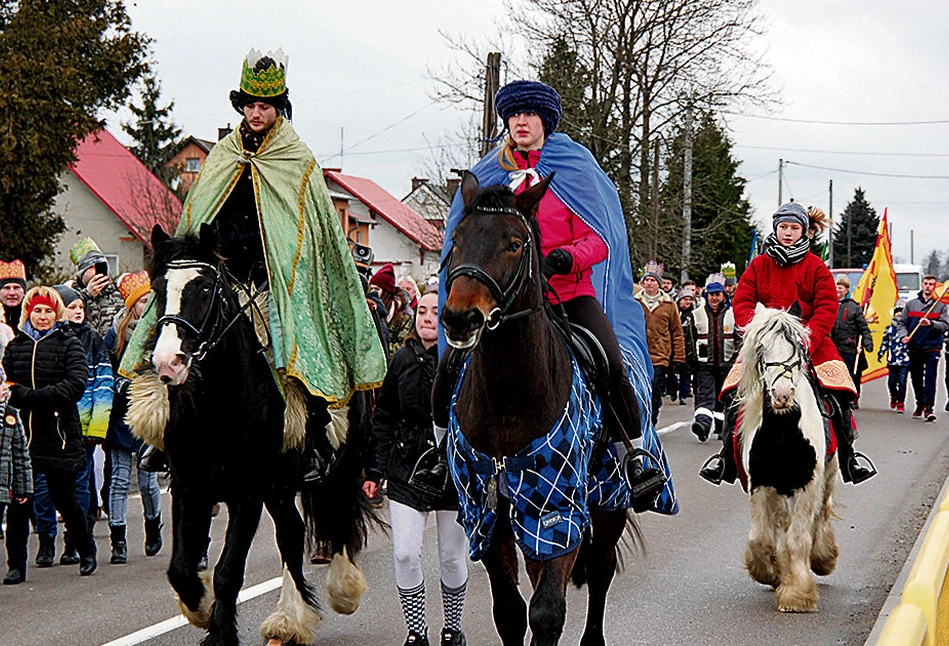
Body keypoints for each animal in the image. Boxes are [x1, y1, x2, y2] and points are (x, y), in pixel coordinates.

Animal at [128, 224, 372, 646]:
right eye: (158, 288)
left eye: (205, 288)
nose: (167, 362)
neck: (220, 406)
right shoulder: (190, 486)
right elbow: (180, 568)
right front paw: (200, 608)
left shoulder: (248, 494)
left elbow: (229, 572)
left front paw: (220, 632)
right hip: (280, 487)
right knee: (292, 533)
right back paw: (288, 620)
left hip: (340, 463)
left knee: (338, 516)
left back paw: (341, 592)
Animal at [732, 308, 836, 612]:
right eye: (761, 347)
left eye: (798, 348)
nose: (783, 395)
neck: (783, 432)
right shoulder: (761, 483)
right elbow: (761, 538)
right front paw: (769, 571)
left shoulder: (808, 485)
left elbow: (798, 538)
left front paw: (797, 593)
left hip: (829, 475)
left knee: (822, 513)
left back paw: (822, 558)